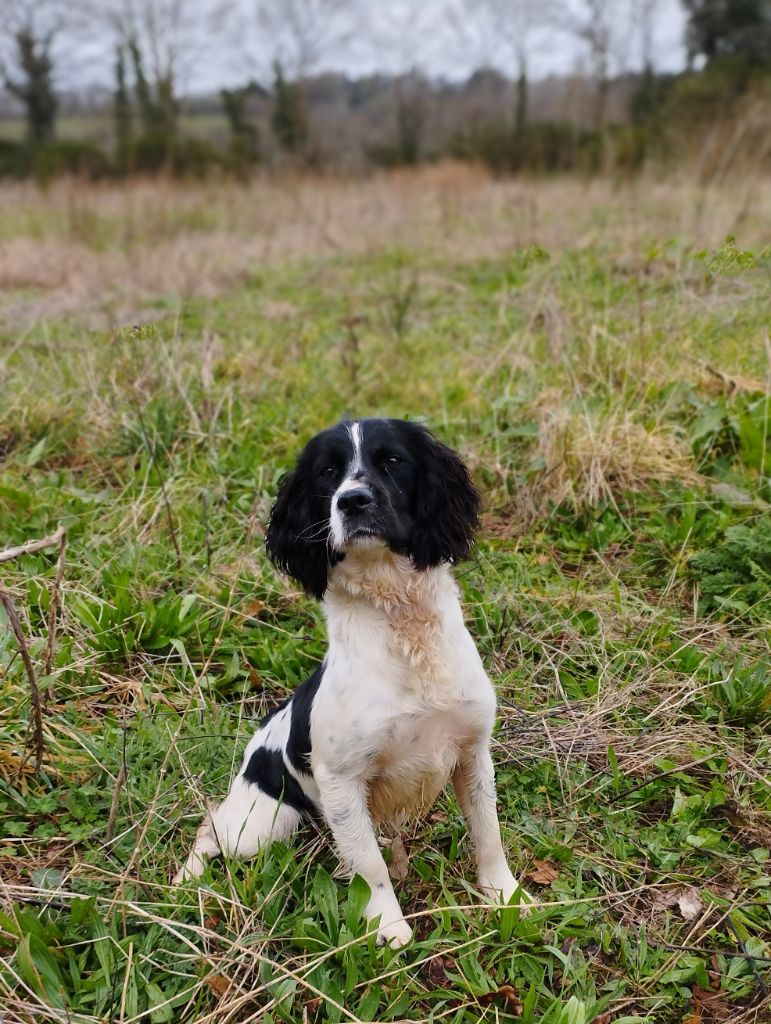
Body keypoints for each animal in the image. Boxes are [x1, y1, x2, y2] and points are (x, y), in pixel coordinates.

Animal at [173, 419, 524, 946]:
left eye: (393, 461)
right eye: (327, 472)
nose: (352, 500)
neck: (403, 630)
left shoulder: (472, 753)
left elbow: (489, 834)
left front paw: (506, 896)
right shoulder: (341, 782)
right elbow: (371, 869)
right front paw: (389, 926)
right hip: (262, 825)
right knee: (209, 827)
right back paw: (185, 881)